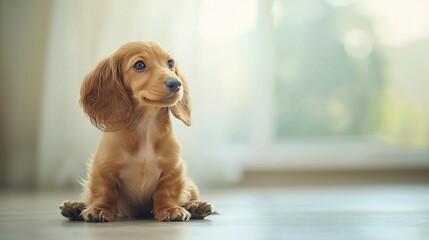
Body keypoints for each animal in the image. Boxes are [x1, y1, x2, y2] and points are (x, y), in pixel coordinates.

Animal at [59, 40, 213, 221]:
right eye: (139, 65)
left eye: (170, 64)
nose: (176, 84)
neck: (146, 126)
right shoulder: (103, 167)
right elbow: (105, 191)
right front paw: (100, 209)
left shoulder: (174, 168)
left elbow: (166, 191)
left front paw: (169, 209)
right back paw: (74, 206)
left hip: (191, 185)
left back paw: (196, 206)